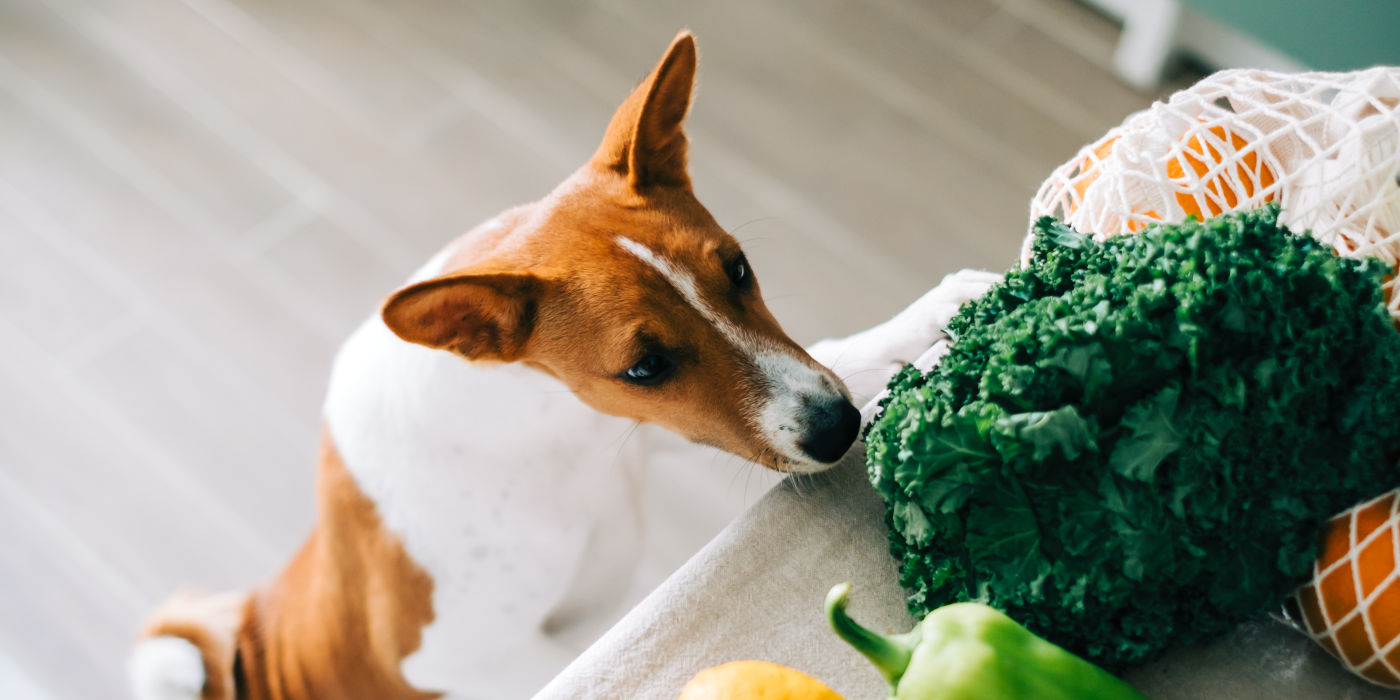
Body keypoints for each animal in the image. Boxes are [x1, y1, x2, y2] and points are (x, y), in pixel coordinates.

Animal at [131, 30, 1002, 697]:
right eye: (644, 366)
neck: (542, 437)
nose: (837, 429)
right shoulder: (465, 661)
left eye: (739, 268)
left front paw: (937, 313)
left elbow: (837, 353)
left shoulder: (647, 433)